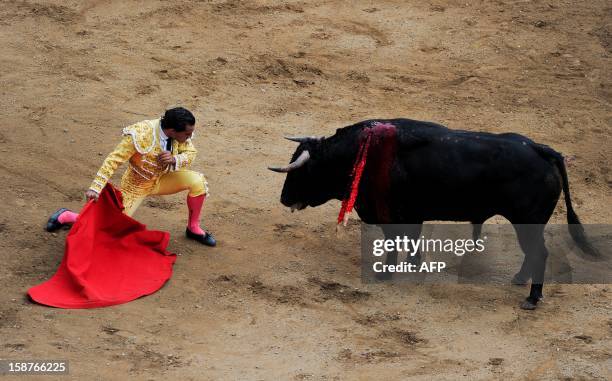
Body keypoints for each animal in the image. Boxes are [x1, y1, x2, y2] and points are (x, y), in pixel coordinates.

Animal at [270, 118, 600, 308]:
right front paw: (413, 265)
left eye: (302, 172)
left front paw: (385, 273)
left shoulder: (391, 215)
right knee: (534, 253)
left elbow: (394, 243)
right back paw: (520, 280)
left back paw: (531, 298)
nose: (284, 199)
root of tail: (542, 149)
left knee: (538, 253)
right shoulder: (412, 214)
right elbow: (412, 239)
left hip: (526, 221)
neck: (360, 153)